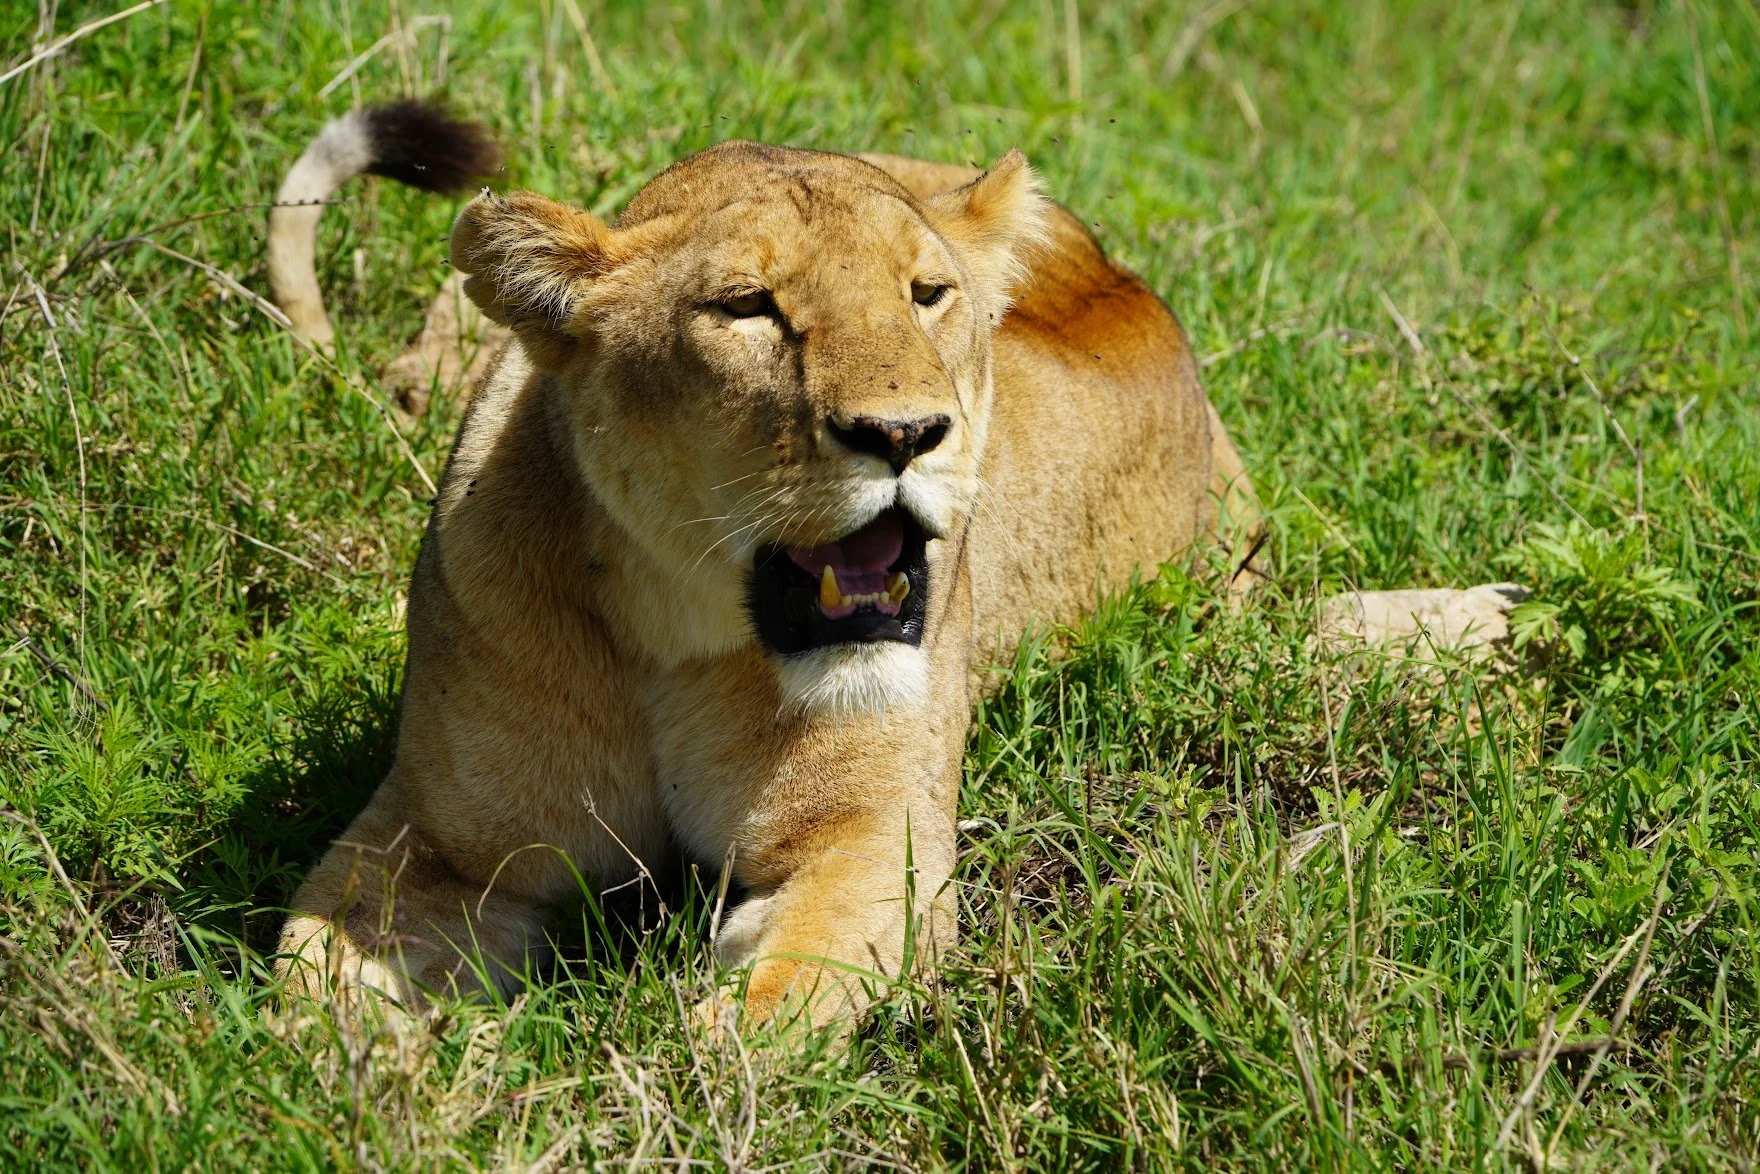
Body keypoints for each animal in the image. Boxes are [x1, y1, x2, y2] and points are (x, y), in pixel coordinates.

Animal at [266, 102, 1513, 1031]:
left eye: (926, 294)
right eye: (745, 307)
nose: (907, 433)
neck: (679, 635)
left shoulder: (873, 843)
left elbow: (758, 1019)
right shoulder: (437, 842)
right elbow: (312, 984)